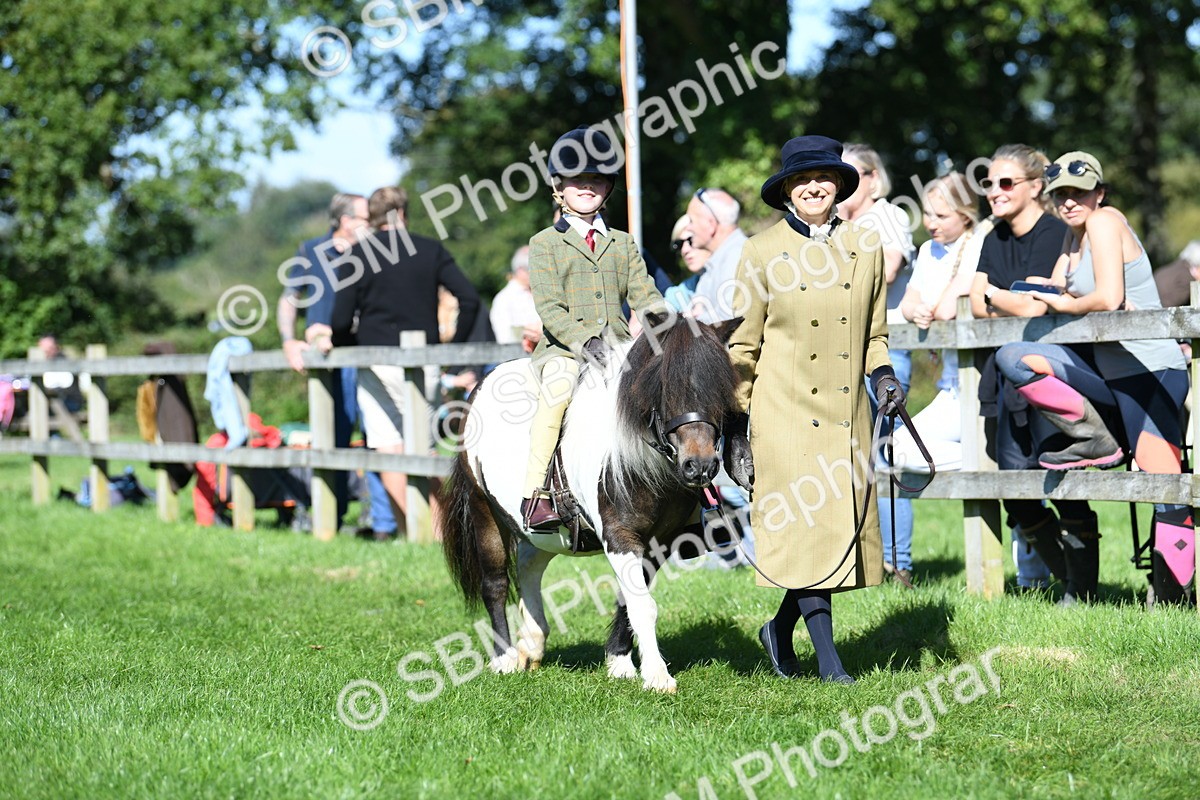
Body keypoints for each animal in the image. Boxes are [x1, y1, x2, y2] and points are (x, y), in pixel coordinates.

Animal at [439, 312, 743, 693]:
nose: (700, 466)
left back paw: (532, 642)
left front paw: (619, 663)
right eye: (663, 387)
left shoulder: (656, 543)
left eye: (721, 390)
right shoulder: (620, 535)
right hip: (484, 511)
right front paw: (656, 676)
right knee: (495, 583)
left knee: (529, 564)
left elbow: (629, 599)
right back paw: (504, 658)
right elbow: (642, 605)